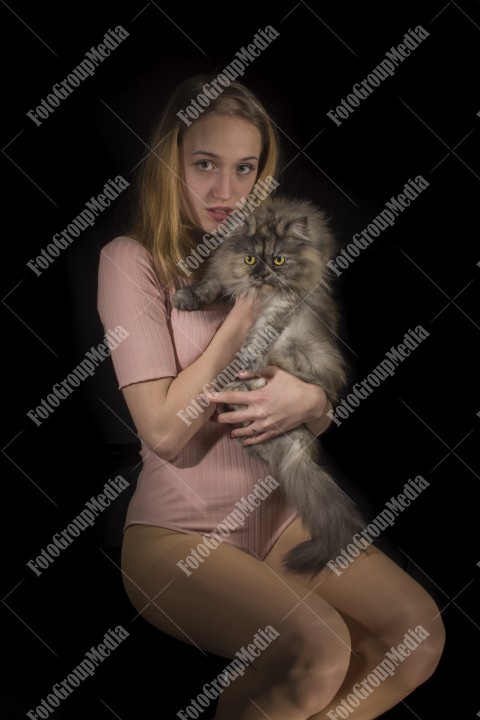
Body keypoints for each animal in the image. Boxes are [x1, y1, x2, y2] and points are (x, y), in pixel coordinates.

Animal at [174, 194, 366, 576]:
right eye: (251, 258)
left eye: (278, 259)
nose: (261, 274)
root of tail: (297, 452)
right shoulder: (223, 271)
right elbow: (209, 284)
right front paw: (187, 298)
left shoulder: (284, 303)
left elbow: (258, 336)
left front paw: (245, 363)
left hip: (301, 351)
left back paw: (245, 380)